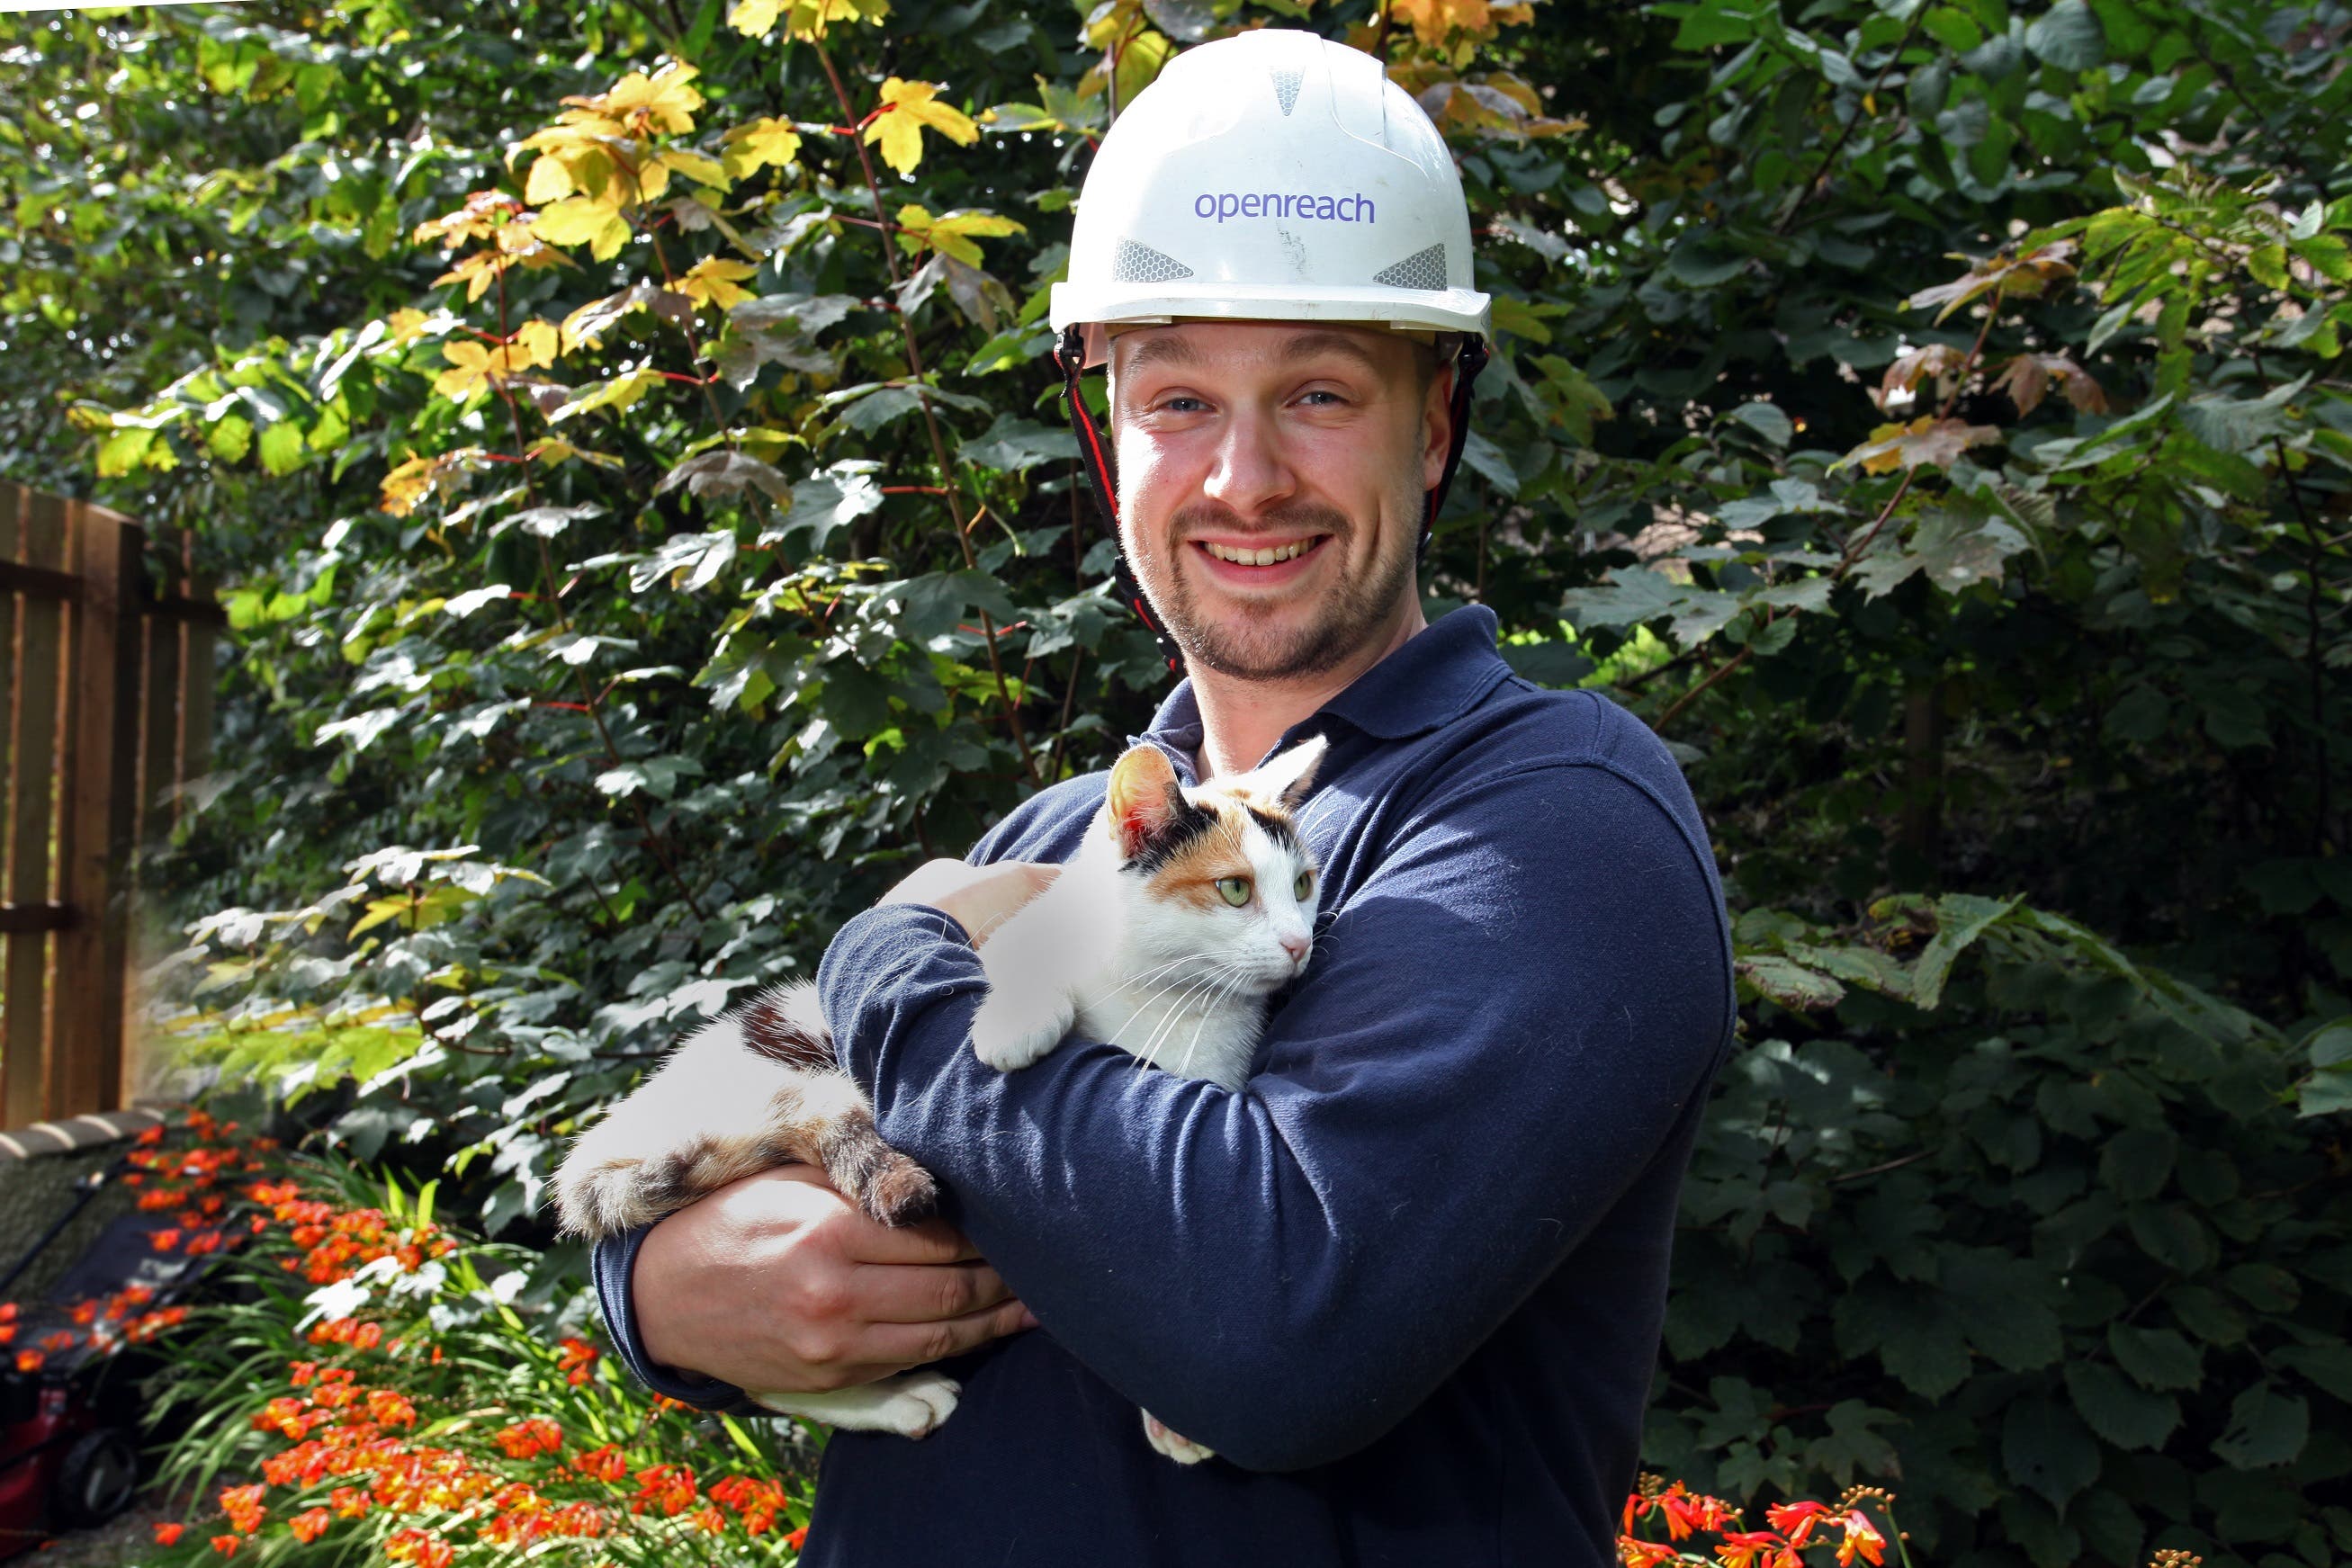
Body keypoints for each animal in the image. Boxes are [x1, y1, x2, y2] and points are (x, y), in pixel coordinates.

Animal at [550, 738, 1326, 1457]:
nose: (1300, 943)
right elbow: (1016, 966)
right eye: (1234, 889)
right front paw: (1018, 1021)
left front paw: (1172, 1418)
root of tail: (609, 1146)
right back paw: (900, 1395)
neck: (1169, 999)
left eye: (1304, 883)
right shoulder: (1007, 938)